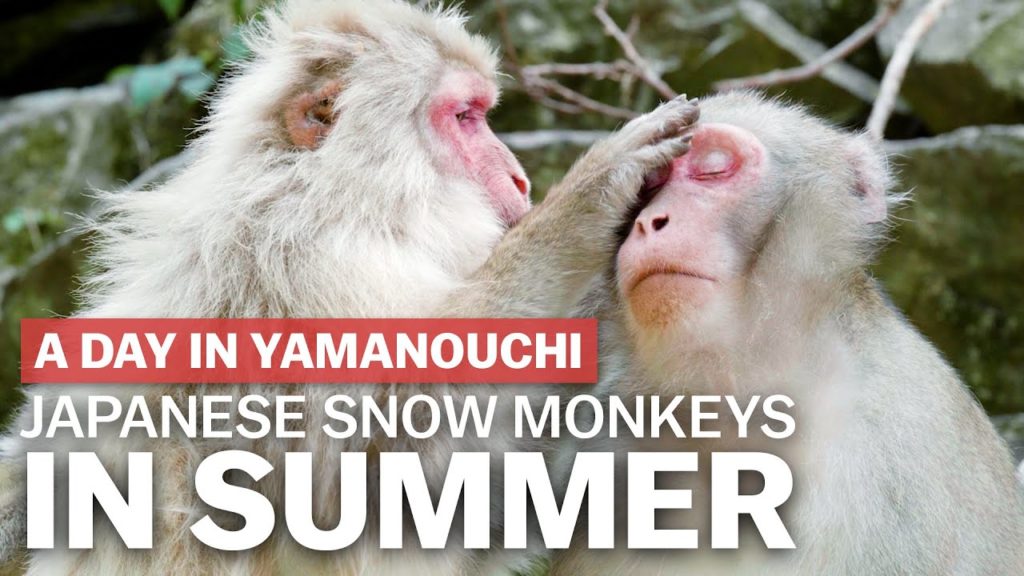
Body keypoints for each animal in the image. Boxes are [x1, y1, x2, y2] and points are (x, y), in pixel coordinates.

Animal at [0, 1, 700, 574]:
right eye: (465, 117)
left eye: (483, 115)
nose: (521, 179)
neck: (343, 203)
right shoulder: (300, 267)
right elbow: (387, 464)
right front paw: (585, 206)